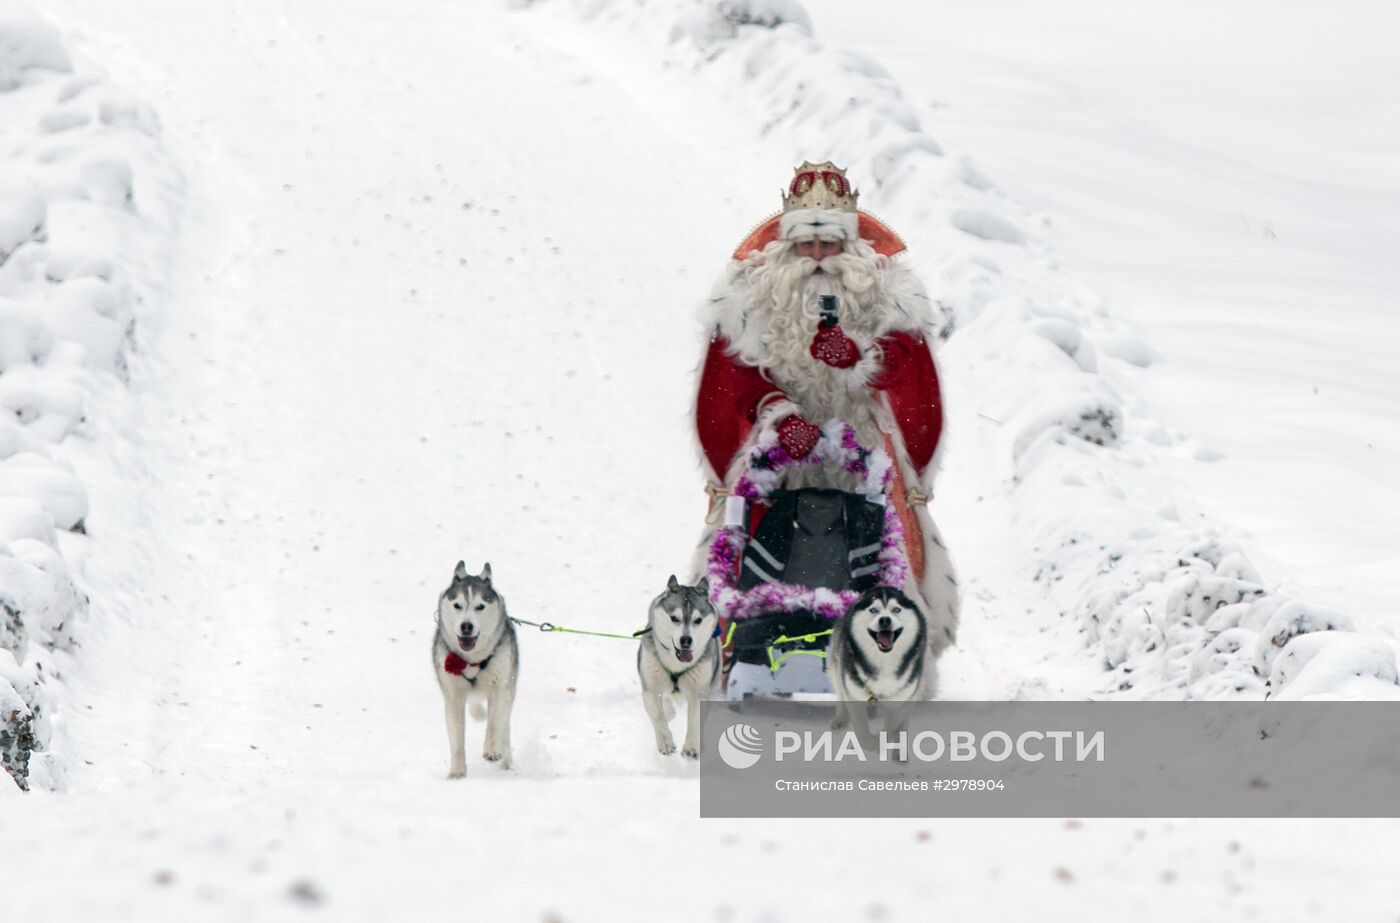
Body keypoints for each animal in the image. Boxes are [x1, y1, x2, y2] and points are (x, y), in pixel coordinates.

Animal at [431, 563, 520, 778]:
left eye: (480, 606)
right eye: (457, 605)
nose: (466, 626)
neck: (472, 661)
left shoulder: (499, 686)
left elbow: (494, 723)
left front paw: (492, 750)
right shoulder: (453, 694)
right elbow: (456, 736)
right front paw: (457, 772)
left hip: (509, 687)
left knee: (504, 726)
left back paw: (506, 761)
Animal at [638, 577, 722, 756]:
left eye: (698, 620)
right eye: (674, 618)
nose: (686, 640)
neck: (676, 664)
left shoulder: (699, 692)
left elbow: (695, 721)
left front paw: (691, 747)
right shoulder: (650, 688)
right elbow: (658, 715)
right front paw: (665, 741)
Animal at [828, 588, 929, 745]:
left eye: (896, 609)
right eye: (874, 610)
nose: (885, 620)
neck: (884, 662)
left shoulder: (901, 700)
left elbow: (892, 725)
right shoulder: (854, 695)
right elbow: (863, 733)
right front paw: (871, 742)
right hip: (837, 667)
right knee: (840, 693)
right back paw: (841, 719)